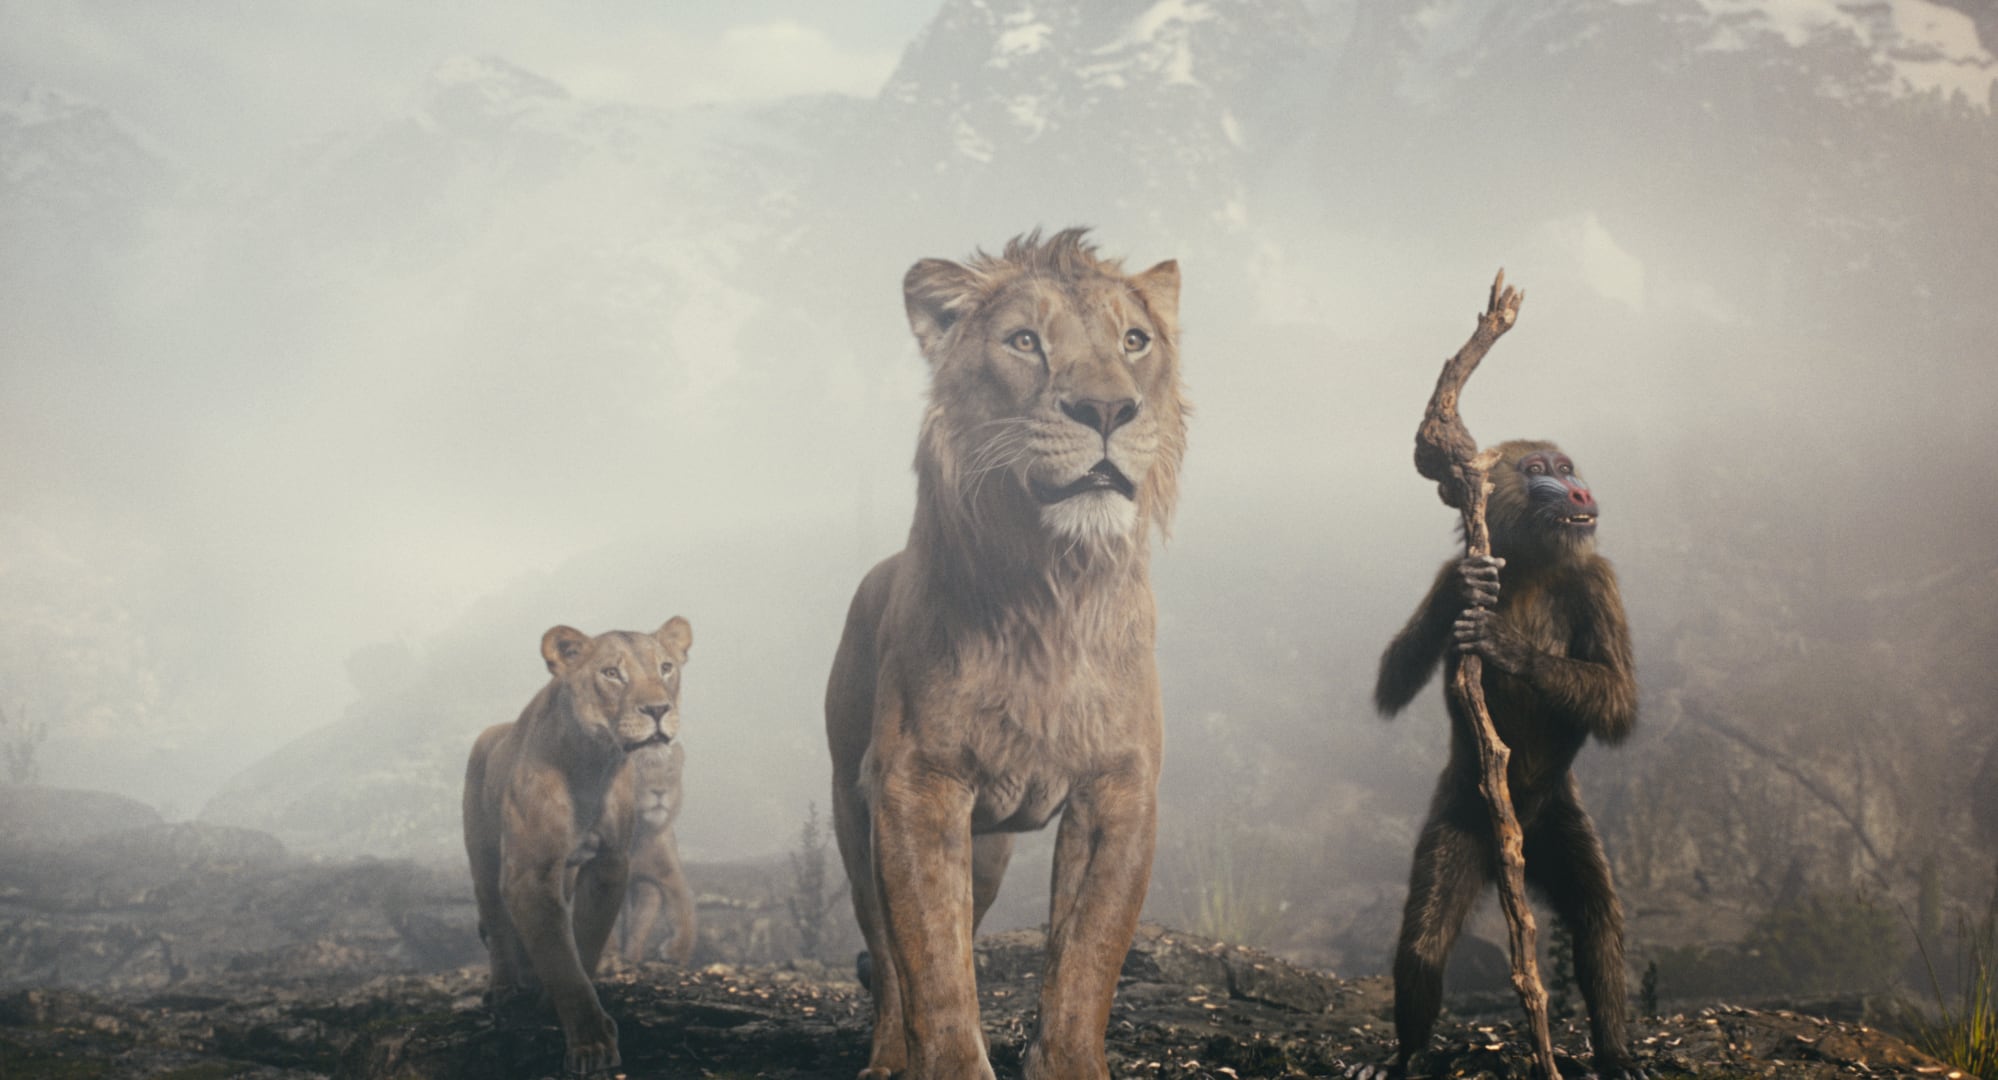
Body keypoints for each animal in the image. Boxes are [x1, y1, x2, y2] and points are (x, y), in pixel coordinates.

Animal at [615, 739, 697, 966]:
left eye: (669, 772)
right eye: (639, 771)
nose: (659, 792)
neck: (639, 834)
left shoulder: (662, 876)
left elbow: (683, 909)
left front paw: (678, 951)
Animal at [825, 227, 1188, 1080]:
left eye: (1135, 341)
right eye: (1025, 342)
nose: (1106, 408)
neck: (1053, 588)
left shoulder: (1120, 789)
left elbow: (1086, 960)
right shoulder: (916, 786)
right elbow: (933, 966)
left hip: (987, 850)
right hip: (854, 810)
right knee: (887, 957)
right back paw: (888, 1056)